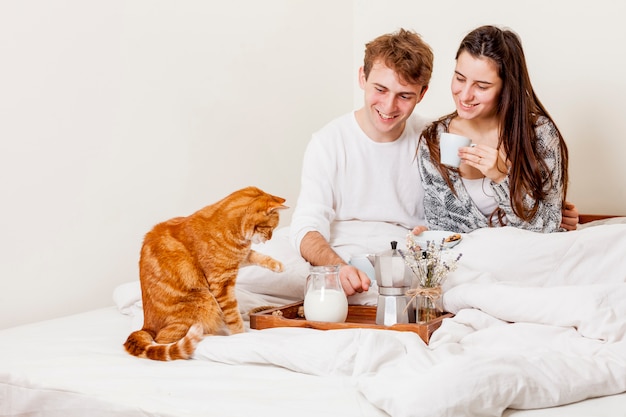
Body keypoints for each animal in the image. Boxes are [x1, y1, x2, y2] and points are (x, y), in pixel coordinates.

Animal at [122, 187, 288, 360]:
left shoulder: (239, 259)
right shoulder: (221, 283)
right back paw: (209, 336)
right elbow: (233, 315)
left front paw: (276, 264)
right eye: (269, 228)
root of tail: (145, 326)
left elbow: (256, 255)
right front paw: (240, 335)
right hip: (205, 299)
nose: (269, 239)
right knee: (164, 339)